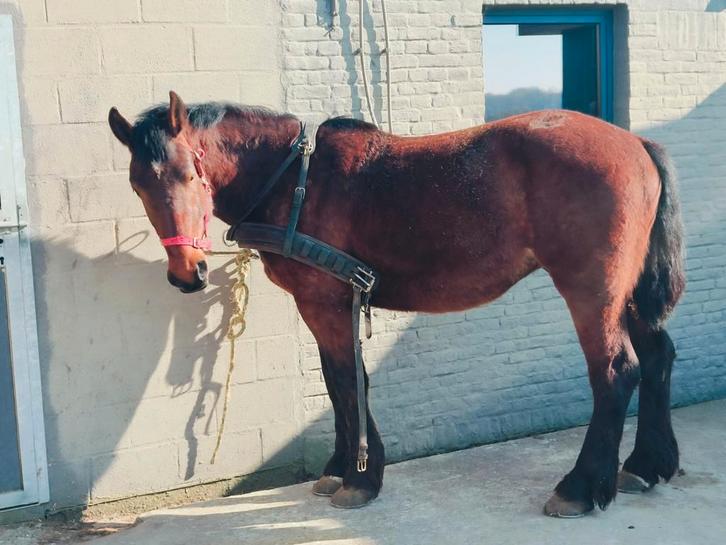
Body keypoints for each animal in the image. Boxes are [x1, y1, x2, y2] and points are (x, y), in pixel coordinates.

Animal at [108, 91, 684, 517]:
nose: (187, 273)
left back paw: (581, 487)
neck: (296, 180)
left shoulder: (326, 303)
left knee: (615, 371)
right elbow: (337, 382)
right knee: (657, 357)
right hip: (628, 293)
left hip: (592, 291)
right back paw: (644, 465)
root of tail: (635, 142)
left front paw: (361, 478)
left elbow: (349, 381)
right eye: (137, 185)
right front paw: (341, 467)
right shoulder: (324, 305)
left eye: (189, 173)